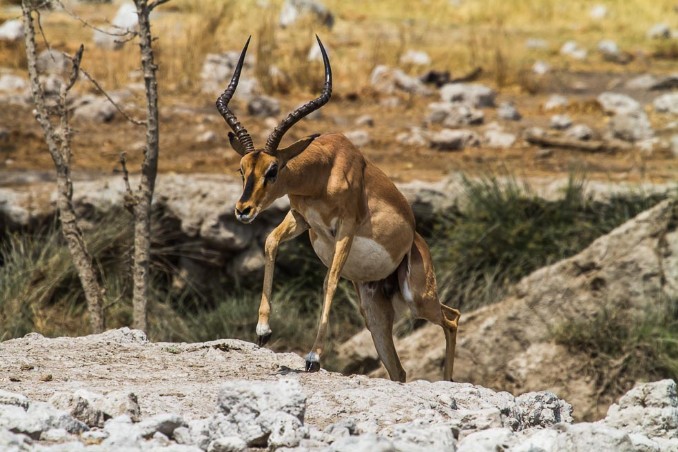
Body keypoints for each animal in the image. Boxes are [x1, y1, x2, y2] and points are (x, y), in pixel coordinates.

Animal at [218, 36, 462, 382]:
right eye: (242, 169)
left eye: (273, 170)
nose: (243, 209)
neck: (326, 169)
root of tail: (416, 237)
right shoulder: (301, 219)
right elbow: (270, 242)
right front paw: (263, 331)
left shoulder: (345, 228)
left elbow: (329, 281)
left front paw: (313, 358)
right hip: (375, 313)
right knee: (399, 370)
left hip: (419, 299)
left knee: (452, 317)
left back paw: (447, 380)